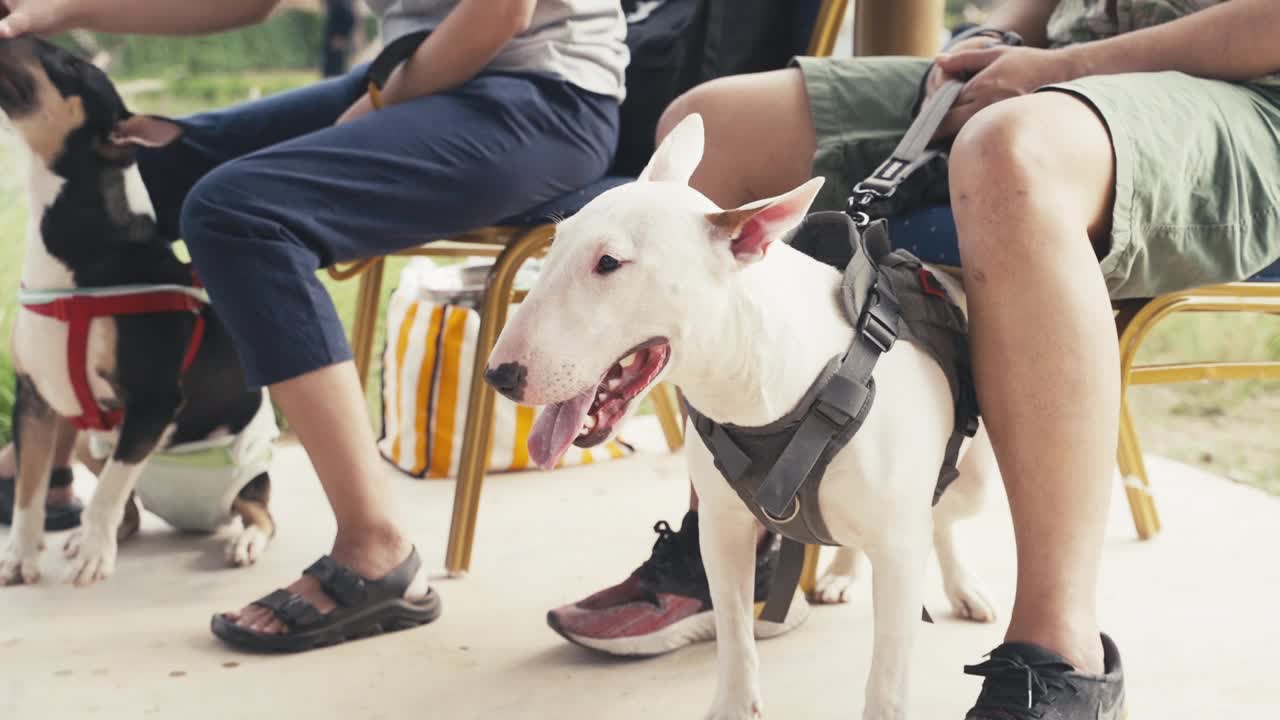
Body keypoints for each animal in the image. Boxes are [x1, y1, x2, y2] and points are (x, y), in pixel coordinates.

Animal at [483, 114, 993, 712]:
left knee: (942, 518)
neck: (760, 388)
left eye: (608, 262)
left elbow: (886, 682)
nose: (500, 375)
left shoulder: (896, 546)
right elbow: (733, 632)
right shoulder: (722, 527)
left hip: (972, 480)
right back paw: (842, 576)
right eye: (556, 244)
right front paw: (732, 703)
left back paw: (963, 588)